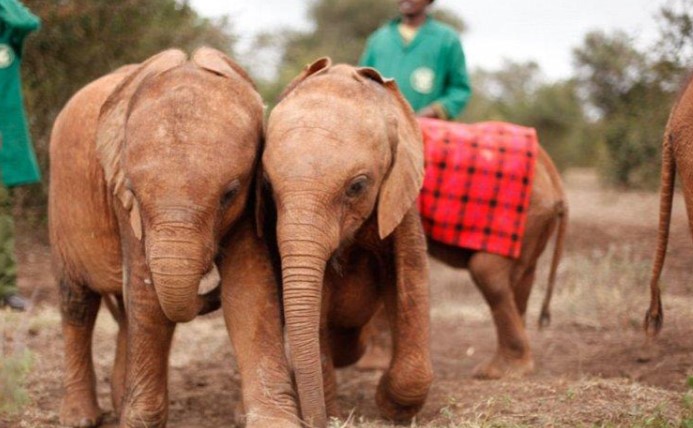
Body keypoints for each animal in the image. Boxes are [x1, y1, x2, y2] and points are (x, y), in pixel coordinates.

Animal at [260, 58, 432, 426]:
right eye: (266, 184)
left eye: (357, 187)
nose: (315, 422)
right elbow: (316, 312)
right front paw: (336, 415)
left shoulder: (401, 204)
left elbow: (410, 285)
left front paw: (391, 409)